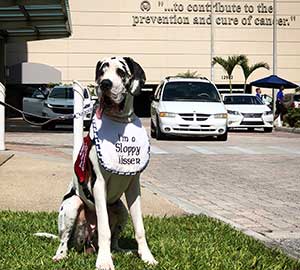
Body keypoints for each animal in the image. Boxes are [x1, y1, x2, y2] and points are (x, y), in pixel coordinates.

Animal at [53, 56, 158, 268]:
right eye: (102, 72)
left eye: (121, 72)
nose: (104, 84)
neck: (120, 121)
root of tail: (86, 243)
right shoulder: (98, 184)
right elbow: (104, 230)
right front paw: (104, 262)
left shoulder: (134, 187)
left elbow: (140, 228)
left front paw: (147, 256)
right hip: (71, 206)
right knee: (64, 239)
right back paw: (61, 254)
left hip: (121, 210)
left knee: (115, 240)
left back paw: (121, 251)